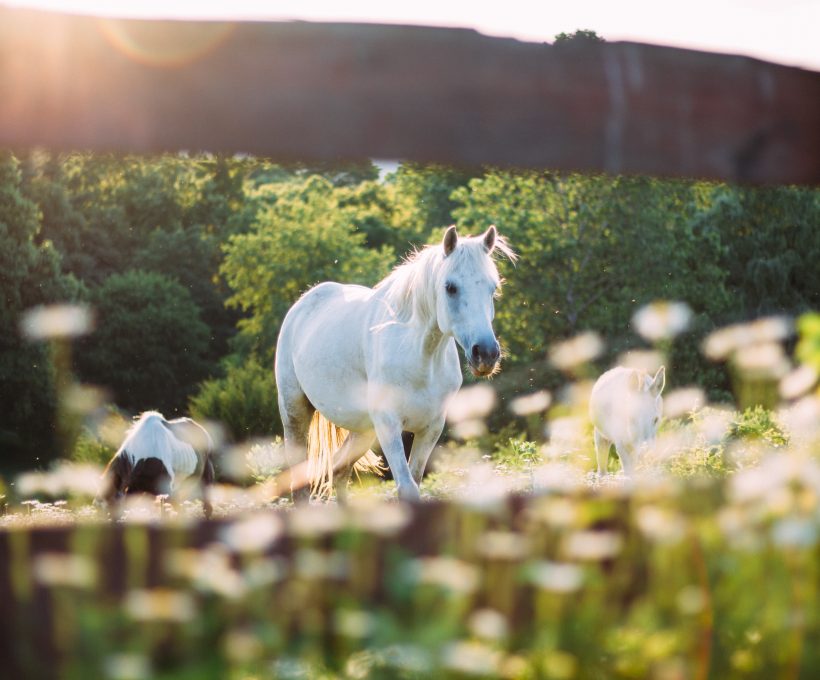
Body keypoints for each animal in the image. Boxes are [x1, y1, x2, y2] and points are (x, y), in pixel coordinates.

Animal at [276, 226, 512, 502]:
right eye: (450, 287)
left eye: (492, 288)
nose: (486, 353)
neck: (420, 359)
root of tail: (303, 304)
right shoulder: (389, 425)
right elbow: (407, 487)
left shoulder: (431, 428)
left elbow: (415, 480)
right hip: (295, 413)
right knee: (300, 480)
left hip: (363, 430)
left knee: (340, 470)